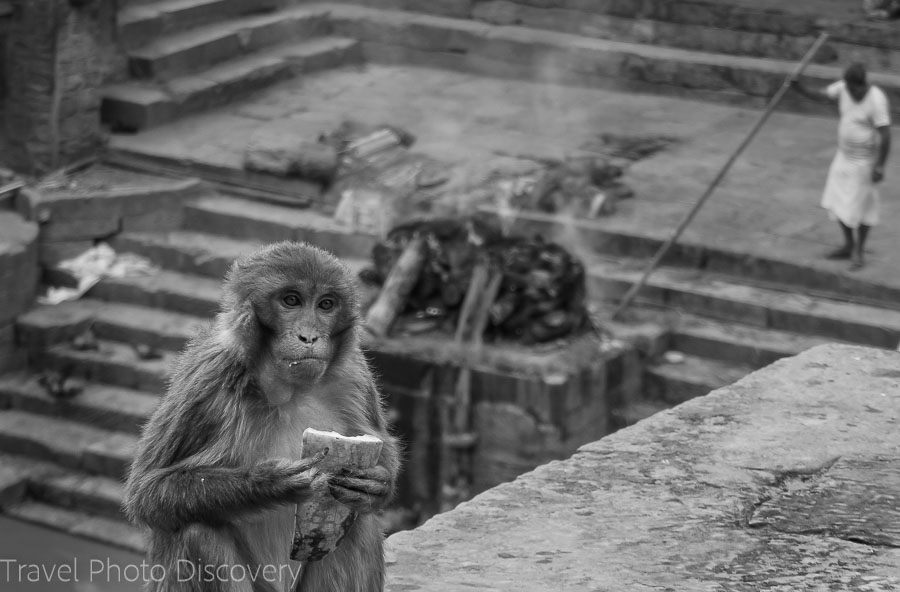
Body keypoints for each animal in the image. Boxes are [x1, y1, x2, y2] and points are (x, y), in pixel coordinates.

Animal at [123, 242, 400, 592]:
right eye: (291, 300)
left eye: (326, 305)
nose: (310, 337)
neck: (288, 388)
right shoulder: (208, 376)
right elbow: (145, 492)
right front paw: (269, 482)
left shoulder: (354, 374)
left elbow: (381, 454)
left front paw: (375, 483)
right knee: (197, 532)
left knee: (359, 522)